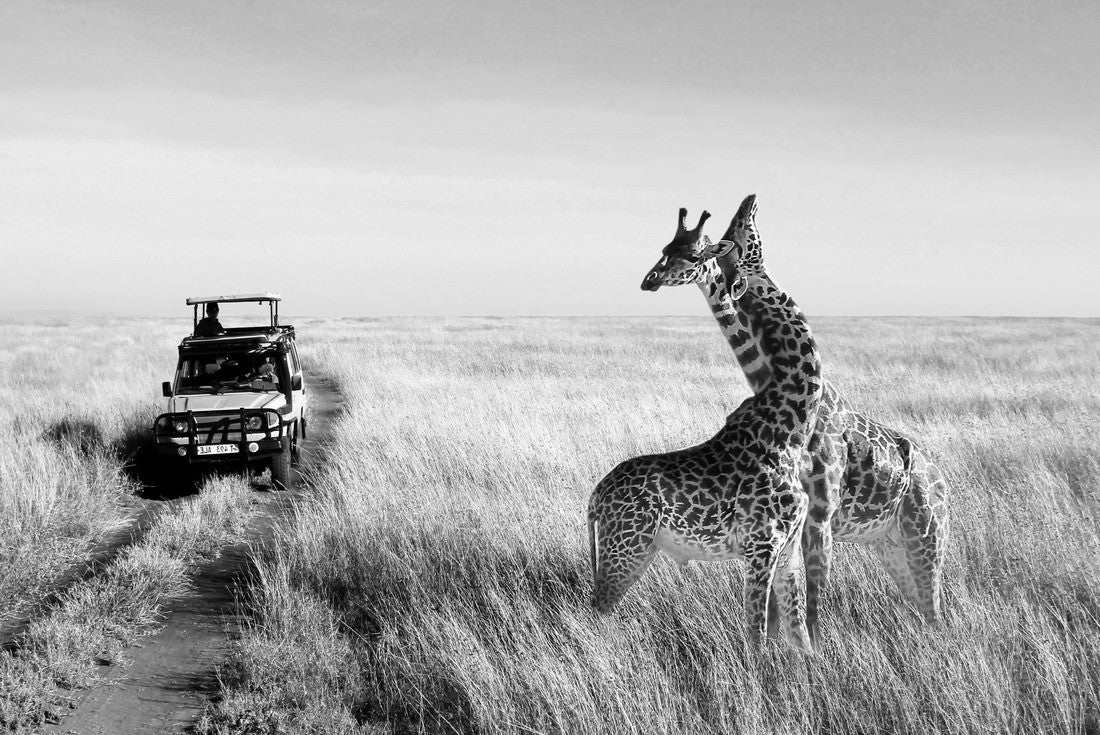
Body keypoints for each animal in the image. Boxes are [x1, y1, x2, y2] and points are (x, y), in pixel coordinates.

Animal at [588, 208, 824, 652]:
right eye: (666, 249)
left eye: (693, 253)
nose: (650, 279)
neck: (792, 428)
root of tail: (595, 496)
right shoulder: (760, 545)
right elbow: (756, 634)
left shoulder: (788, 549)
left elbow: (800, 636)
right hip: (625, 547)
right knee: (596, 609)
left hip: (635, 550)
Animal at [641, 195, 951, 641]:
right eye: (666, 248)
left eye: (697, 252)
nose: (649, 279)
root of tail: (941, 477)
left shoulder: (818, 514)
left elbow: (810, 597)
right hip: (891, 543)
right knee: (923, 607)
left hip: (927, 536)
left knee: (936, 606)